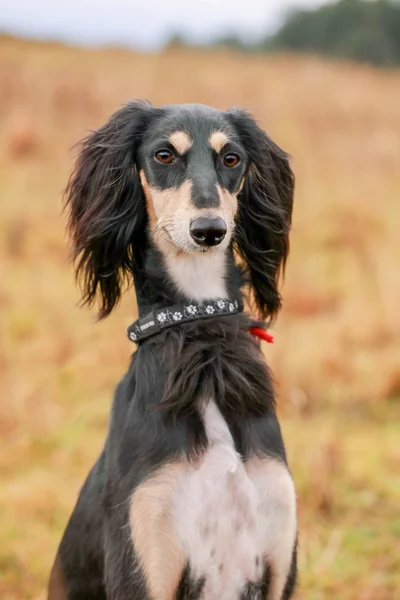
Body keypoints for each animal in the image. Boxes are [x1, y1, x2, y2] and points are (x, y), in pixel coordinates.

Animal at [47, 101, 296, 596]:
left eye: (231, 158)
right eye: (164, 155)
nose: (209, 230)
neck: (203, 338)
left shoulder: (280, 568)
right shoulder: (144, 566)